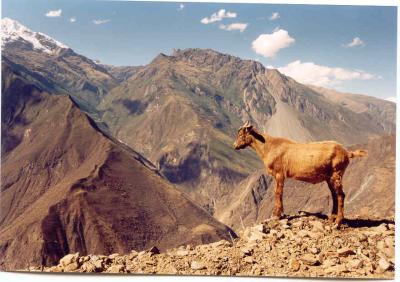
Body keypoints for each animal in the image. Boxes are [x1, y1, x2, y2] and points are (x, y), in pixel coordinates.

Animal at [233, 121, 368, 227]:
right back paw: (331, 218)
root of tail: (346, 153)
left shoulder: (279, 174)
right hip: (329, 177)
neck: (269, 147)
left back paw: (338, 222)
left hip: (336, 173)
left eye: (241, 134)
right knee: (334, 194)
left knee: (341, 195)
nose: (234, 146)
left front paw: (276, 215)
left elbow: (278, 192)